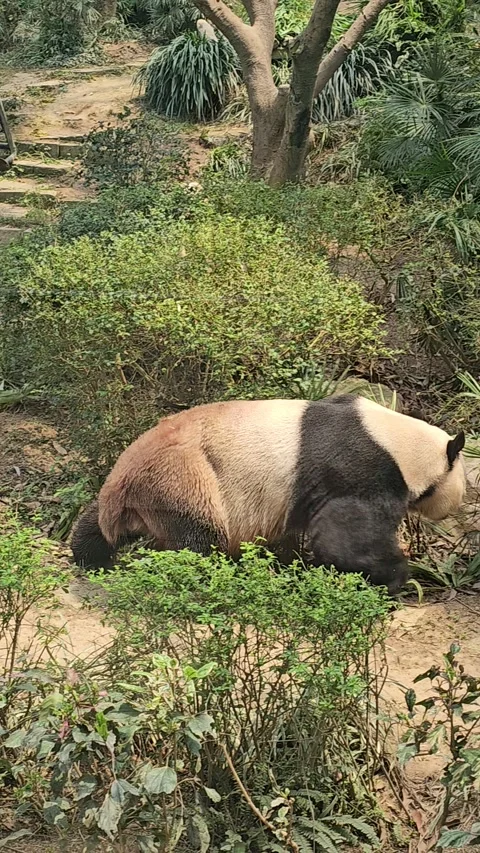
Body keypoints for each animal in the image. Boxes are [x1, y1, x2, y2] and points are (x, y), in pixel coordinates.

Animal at [71, 395, 466, 594]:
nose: (455, 509)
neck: (396, 440)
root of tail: (120, 487)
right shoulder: (360, 468)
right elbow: (345, 538)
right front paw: (399, 578)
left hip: (138, 491)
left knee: (93, 526)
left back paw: (91, 558)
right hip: (181, 477)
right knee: (200, 539)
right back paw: (213, 576)